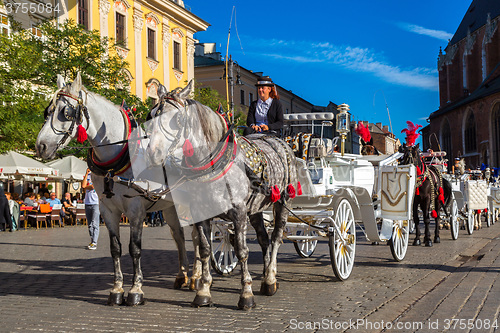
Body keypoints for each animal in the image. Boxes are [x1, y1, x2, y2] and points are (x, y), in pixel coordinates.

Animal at [34, 73, 195, 306]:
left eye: (66, 112)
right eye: (47, 111)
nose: (41, 146)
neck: (119, 156)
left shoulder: (136, 210)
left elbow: (134, 249)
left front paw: (136, 290)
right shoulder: (108, 210)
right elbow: (115, 249)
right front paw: (117, 289)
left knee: (200, 238)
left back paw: (197, 278)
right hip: (170, 207)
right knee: (180, 236)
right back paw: (182, 276)